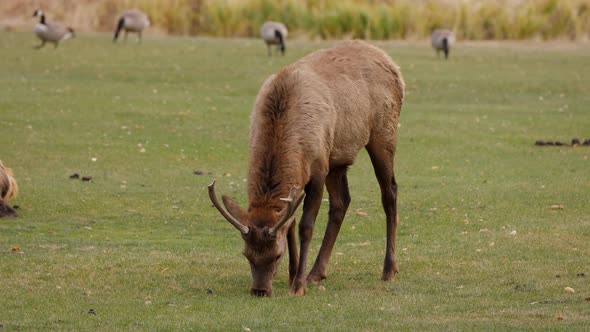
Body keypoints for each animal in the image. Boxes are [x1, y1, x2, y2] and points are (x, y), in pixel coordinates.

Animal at [209, 39, 408, 296]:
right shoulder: (312, 172)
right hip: (337, 157)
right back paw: (317, 272)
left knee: (389, 192)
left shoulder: (318, 169)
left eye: (276, 255)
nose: (260, 291)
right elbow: (290, 224)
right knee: (342, 202)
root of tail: (391, 63)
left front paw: (298, 285)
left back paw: (388, 270)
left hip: (383, 134)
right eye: (246, 255)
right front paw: (294, 274)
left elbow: (305, 226)